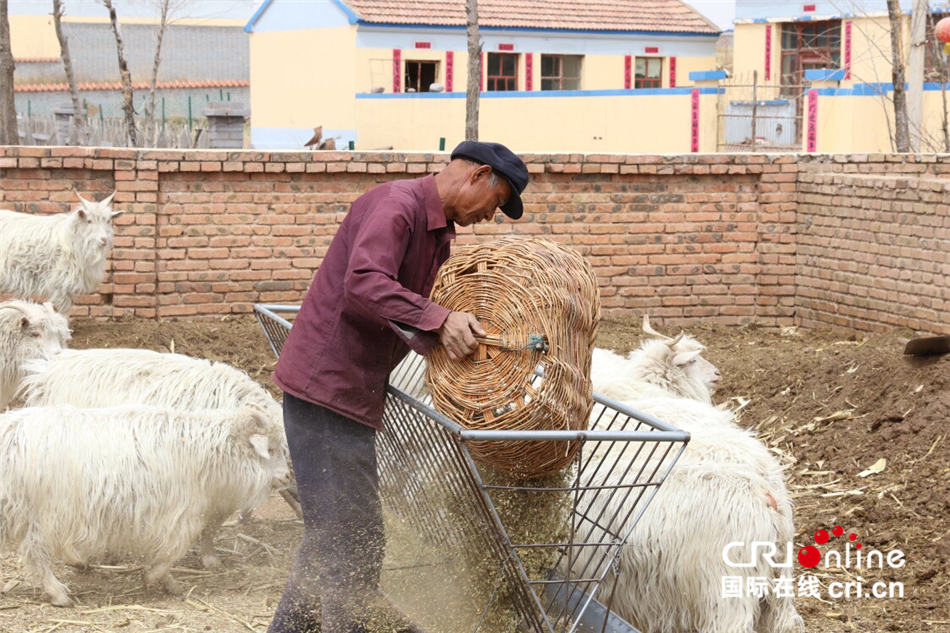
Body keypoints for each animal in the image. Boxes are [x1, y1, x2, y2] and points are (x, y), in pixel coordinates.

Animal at [0, 402, 290, 604]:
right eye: (270, 449)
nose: (287, 476)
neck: (205, 453)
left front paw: (167, 582)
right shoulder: (176, 515)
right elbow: (172, 550)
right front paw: (154, 577)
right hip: (43, 514)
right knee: (35, 553)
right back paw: (59, 594)